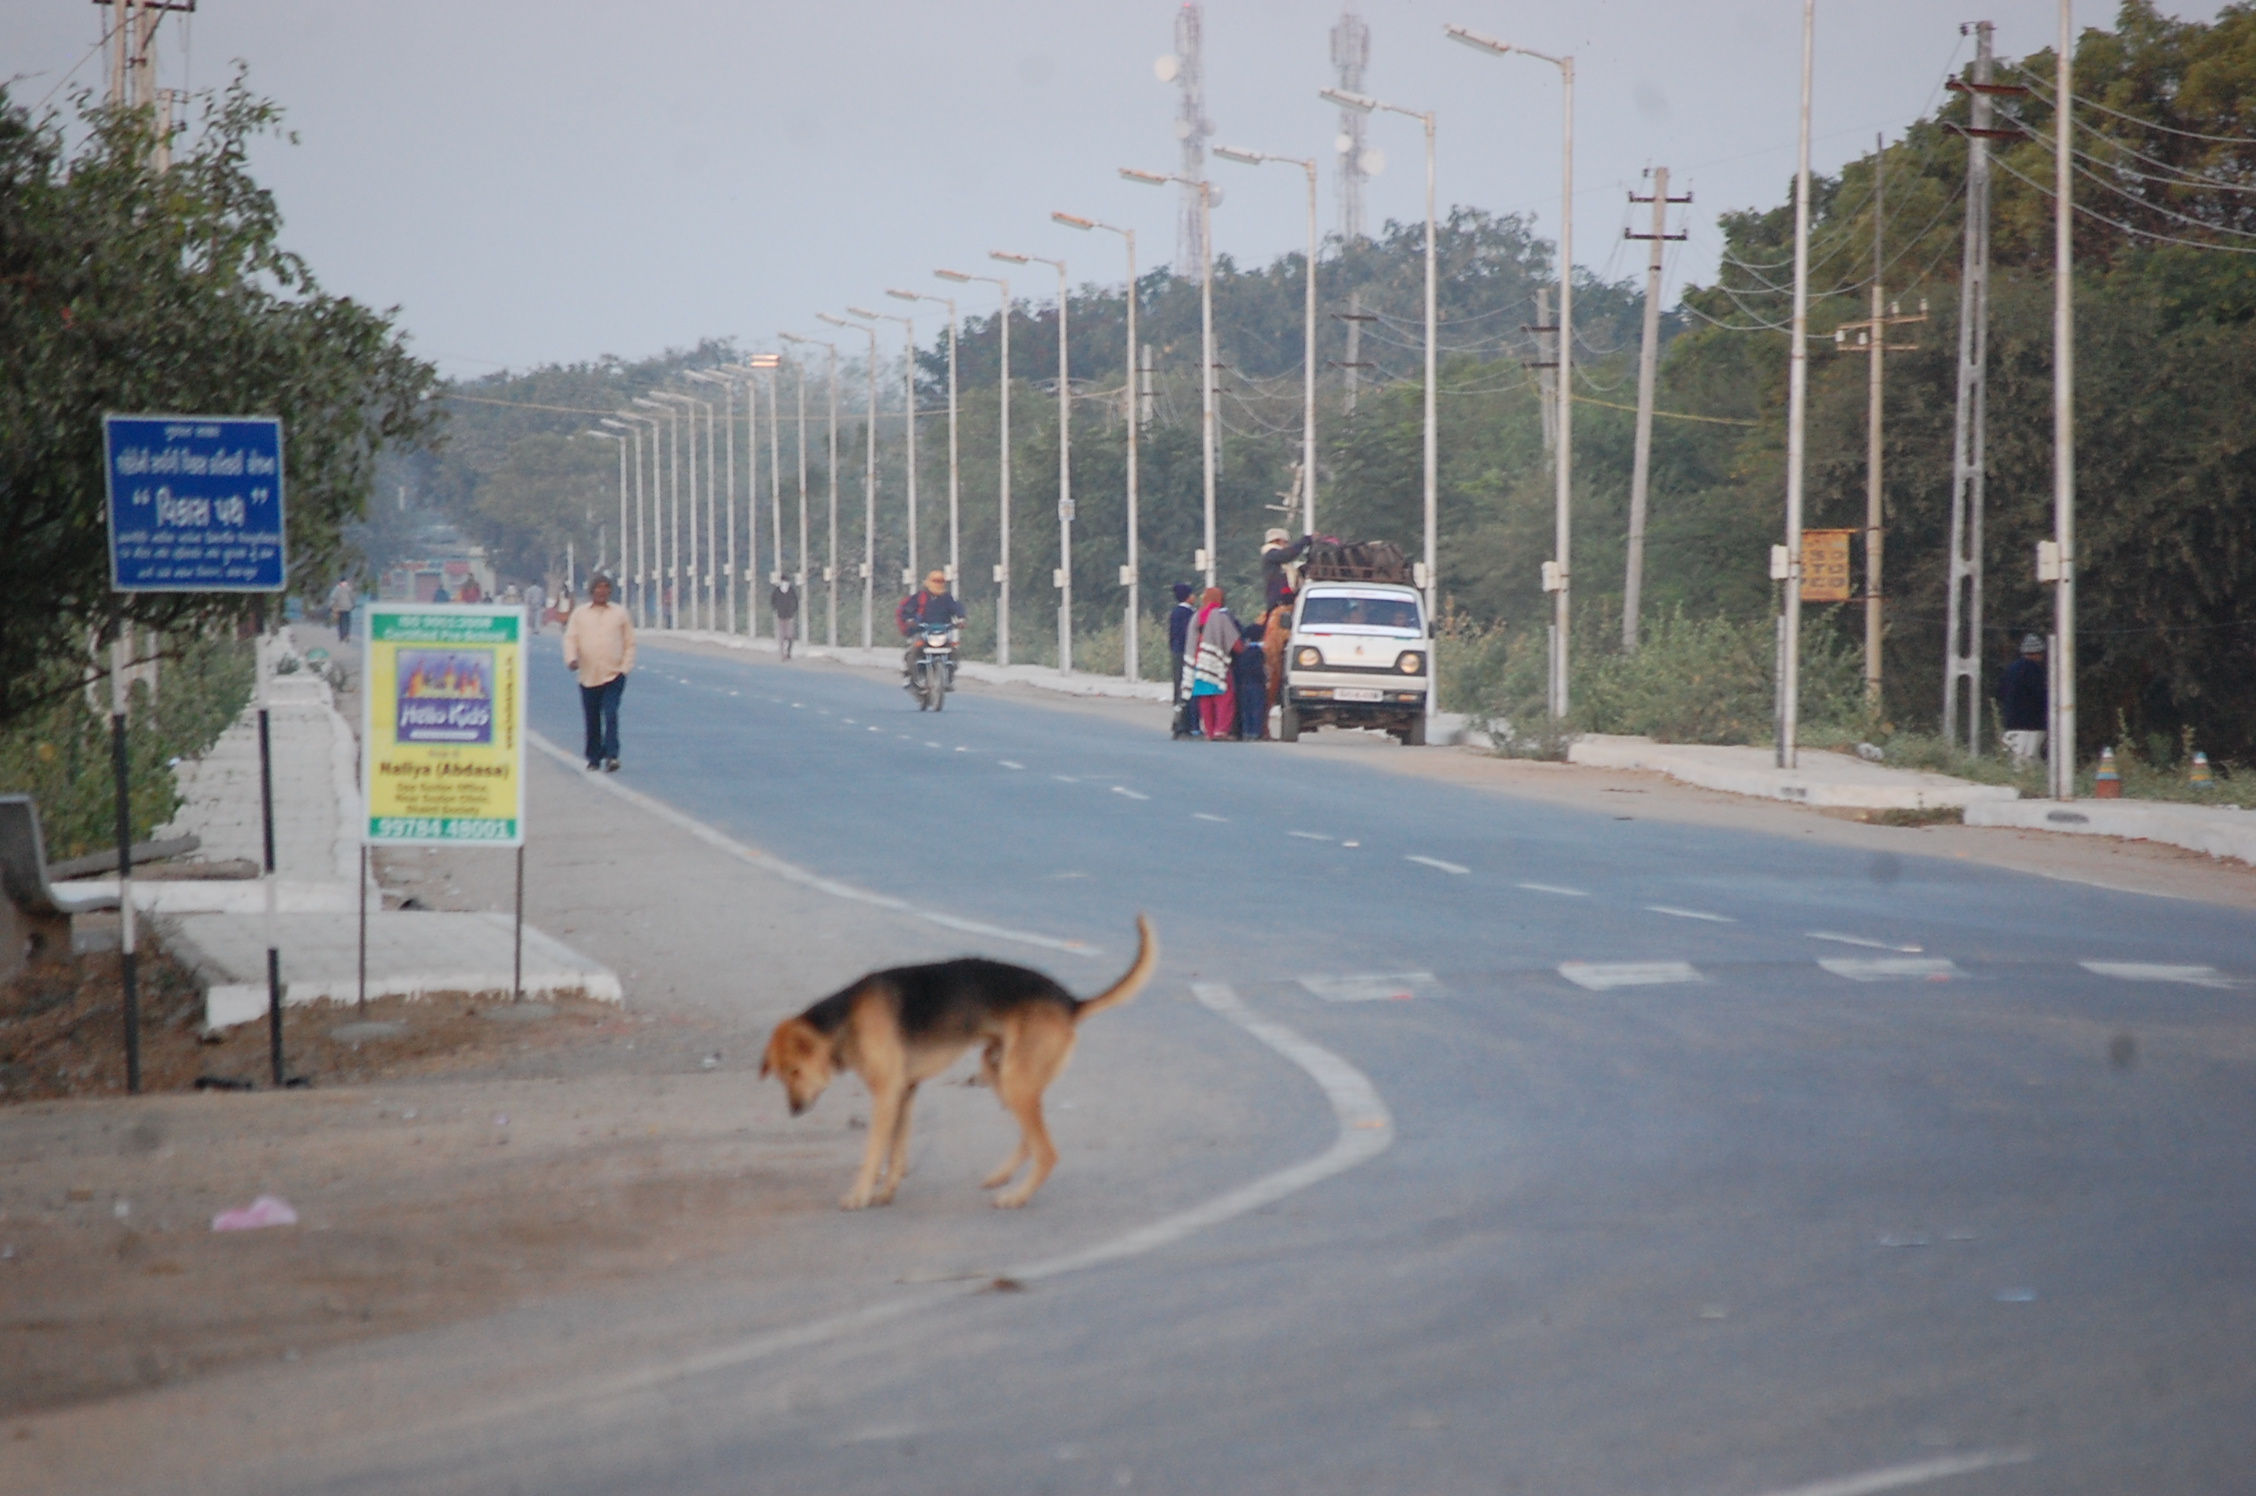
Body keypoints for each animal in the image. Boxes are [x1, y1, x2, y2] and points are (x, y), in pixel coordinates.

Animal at [767, 911, 1155, 1218]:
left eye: (795, 1071)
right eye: (783, 1077)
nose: (794, 1110)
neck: (844, 1019)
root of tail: (1069, 1002)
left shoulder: (886, 1095)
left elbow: (874, 1152)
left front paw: (858, 1195)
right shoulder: (904, 1092)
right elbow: (896, 1152)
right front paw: (886, 1191)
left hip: (1014, 1082)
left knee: (1047, 1152)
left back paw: (1015, 1196)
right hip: (1001, 1072)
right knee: (1031, 1139)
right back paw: (1003, 1177)